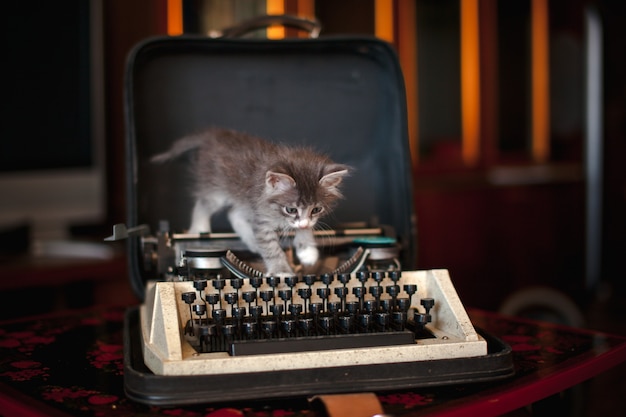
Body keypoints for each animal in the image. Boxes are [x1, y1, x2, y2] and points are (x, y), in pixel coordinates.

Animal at [149, 127, 348, 276]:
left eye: (316, 210)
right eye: (291, 209)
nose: (304, 222)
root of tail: (214, 134)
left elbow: (305, 228)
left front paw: (307, 251)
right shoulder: (261, 216)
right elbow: (271, 247)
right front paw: (281, 270)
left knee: (233, 213)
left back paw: (251, 242)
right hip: (216, 190)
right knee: (203, 205)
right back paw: (199, 229)